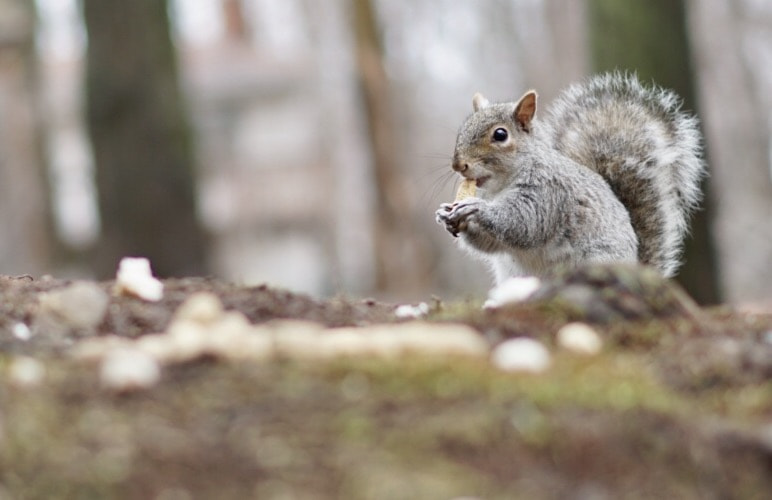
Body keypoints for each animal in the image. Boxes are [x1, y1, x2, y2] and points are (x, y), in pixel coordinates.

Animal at [434, 72, 704, 284]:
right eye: (463, 129)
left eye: (500, 135)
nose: (458, 165)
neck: (501, 185)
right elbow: (490, 242)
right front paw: (446, 214)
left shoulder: (548, 192)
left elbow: (522, 222)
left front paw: (474, 208)